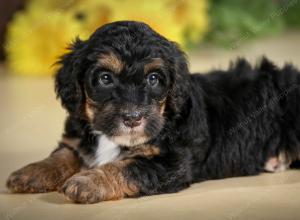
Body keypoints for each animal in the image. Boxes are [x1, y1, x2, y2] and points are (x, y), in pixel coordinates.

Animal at [6, 21, 300, 204]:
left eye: (154, 79)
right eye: (104, 78)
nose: (132, 118)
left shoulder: (171, 162)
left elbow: (128, 166)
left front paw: (88, 181)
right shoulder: (77, 139)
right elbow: (62, 155)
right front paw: (31, 172)